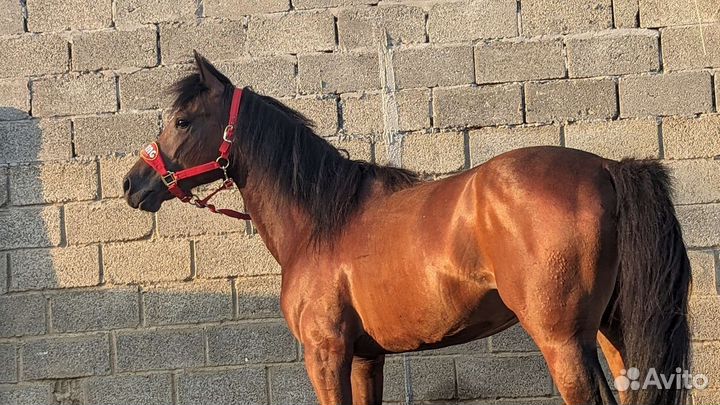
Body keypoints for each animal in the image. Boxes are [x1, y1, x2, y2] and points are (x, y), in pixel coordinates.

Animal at [122, 52, 691, 405]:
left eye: (182, 121)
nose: (133, 184)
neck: (321, 222)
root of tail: (607, 168)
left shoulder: (325, 355)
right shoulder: (365, 359)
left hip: (563, 340)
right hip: (614, 334)